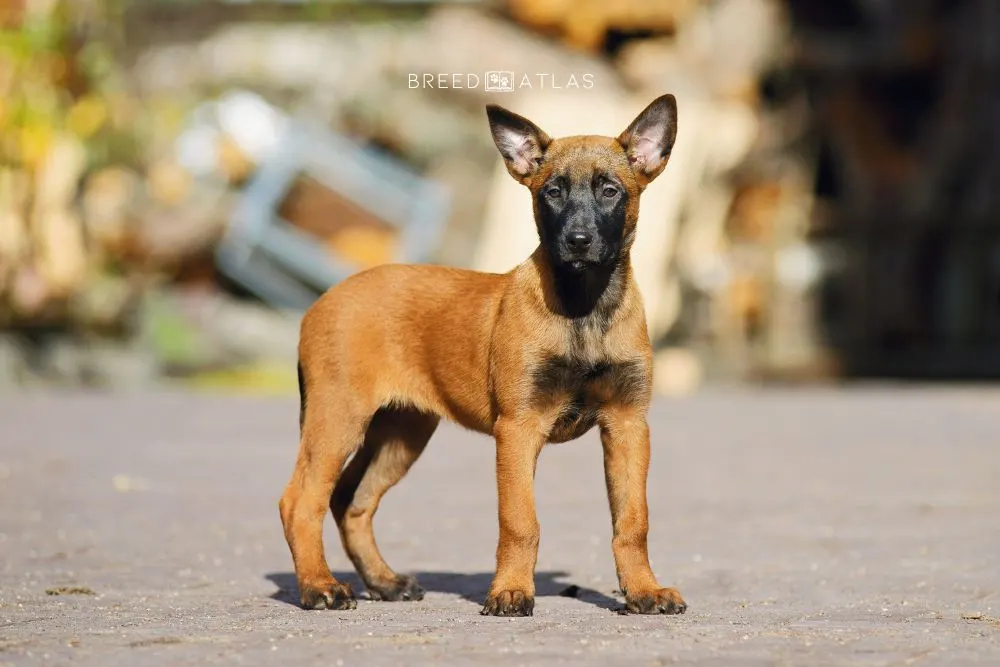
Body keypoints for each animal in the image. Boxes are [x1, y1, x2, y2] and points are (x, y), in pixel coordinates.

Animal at [282, 92, 688, 616]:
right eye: (552, 192)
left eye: (610, 191)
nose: (578, 241)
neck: (583, 308)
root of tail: (322, 301)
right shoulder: (518, 428)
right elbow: (520, 521)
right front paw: (511, 591)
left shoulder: (628, 425)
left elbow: (632, 521)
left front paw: (642, 590)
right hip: (339, 418)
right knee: (302, 501)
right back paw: (320, 586)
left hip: (400, 433)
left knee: (351, 501)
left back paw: (384, 582)